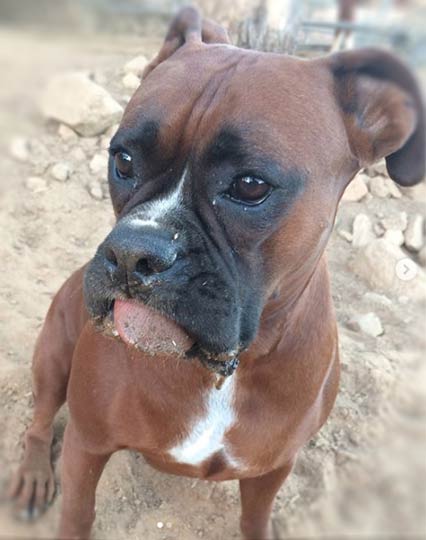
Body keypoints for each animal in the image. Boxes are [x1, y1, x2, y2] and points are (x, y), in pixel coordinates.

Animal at [8, 5, 424, 540]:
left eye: (250, 186)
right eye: (123, 160)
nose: (132, 252)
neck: (224, 374)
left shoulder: (272, 469)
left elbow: (254, 518)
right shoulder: (87, 443)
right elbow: (78, 514)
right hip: (54, 355)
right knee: (40, 420)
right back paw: (34, 474)